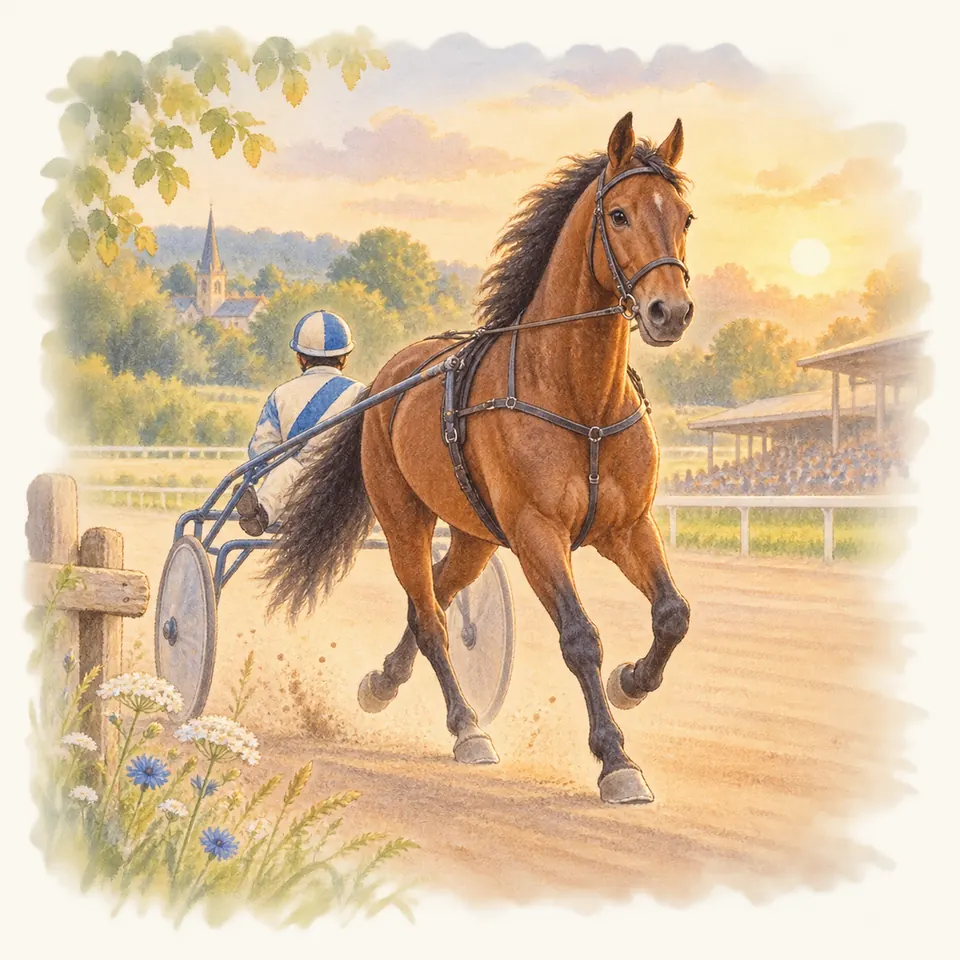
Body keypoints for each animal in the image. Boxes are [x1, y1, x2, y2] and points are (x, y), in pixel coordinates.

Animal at [264, 113, 696, 804]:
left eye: (684, 216)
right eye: (620, 214)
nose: (670, 311)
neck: (581, 401)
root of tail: (387, 377)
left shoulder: (627, 525)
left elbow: (673, 615)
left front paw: (631, 682)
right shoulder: (536, 533)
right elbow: (580, 638)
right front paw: (616, 759)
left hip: (474, 535)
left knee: (434, 597)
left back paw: (383, 683)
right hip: (404, 520)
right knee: (431, 617)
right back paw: (466, 727)